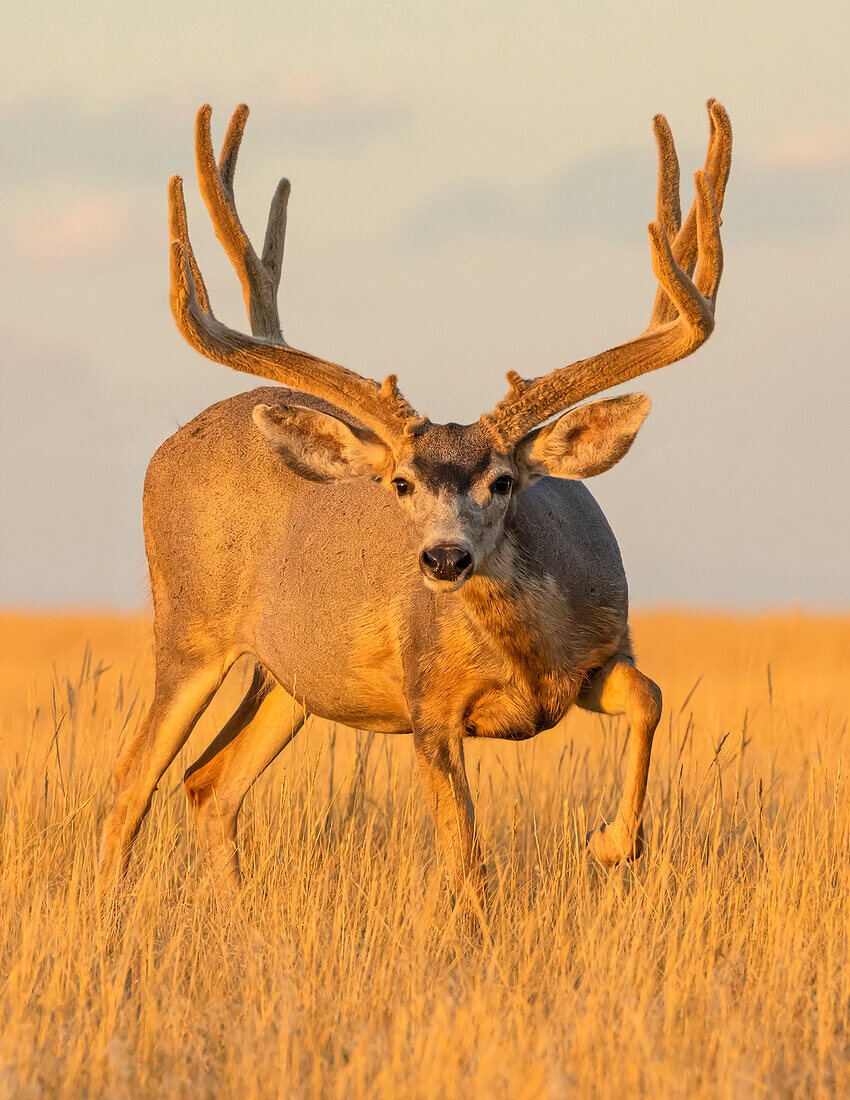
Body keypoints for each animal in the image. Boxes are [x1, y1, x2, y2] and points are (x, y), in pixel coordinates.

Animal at [97, 99, 730, 919]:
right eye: (399, 484)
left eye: (504, 481)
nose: (443, 558)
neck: (524, 648)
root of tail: (166, 449)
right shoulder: (428, 706)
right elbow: (467, 861)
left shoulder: (602, 653)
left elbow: (651, 698)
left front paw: (611, 841)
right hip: (189, 628)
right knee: (131, 778)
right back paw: (106, 918)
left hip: (289, 680)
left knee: (209, 782)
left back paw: (243, 922)